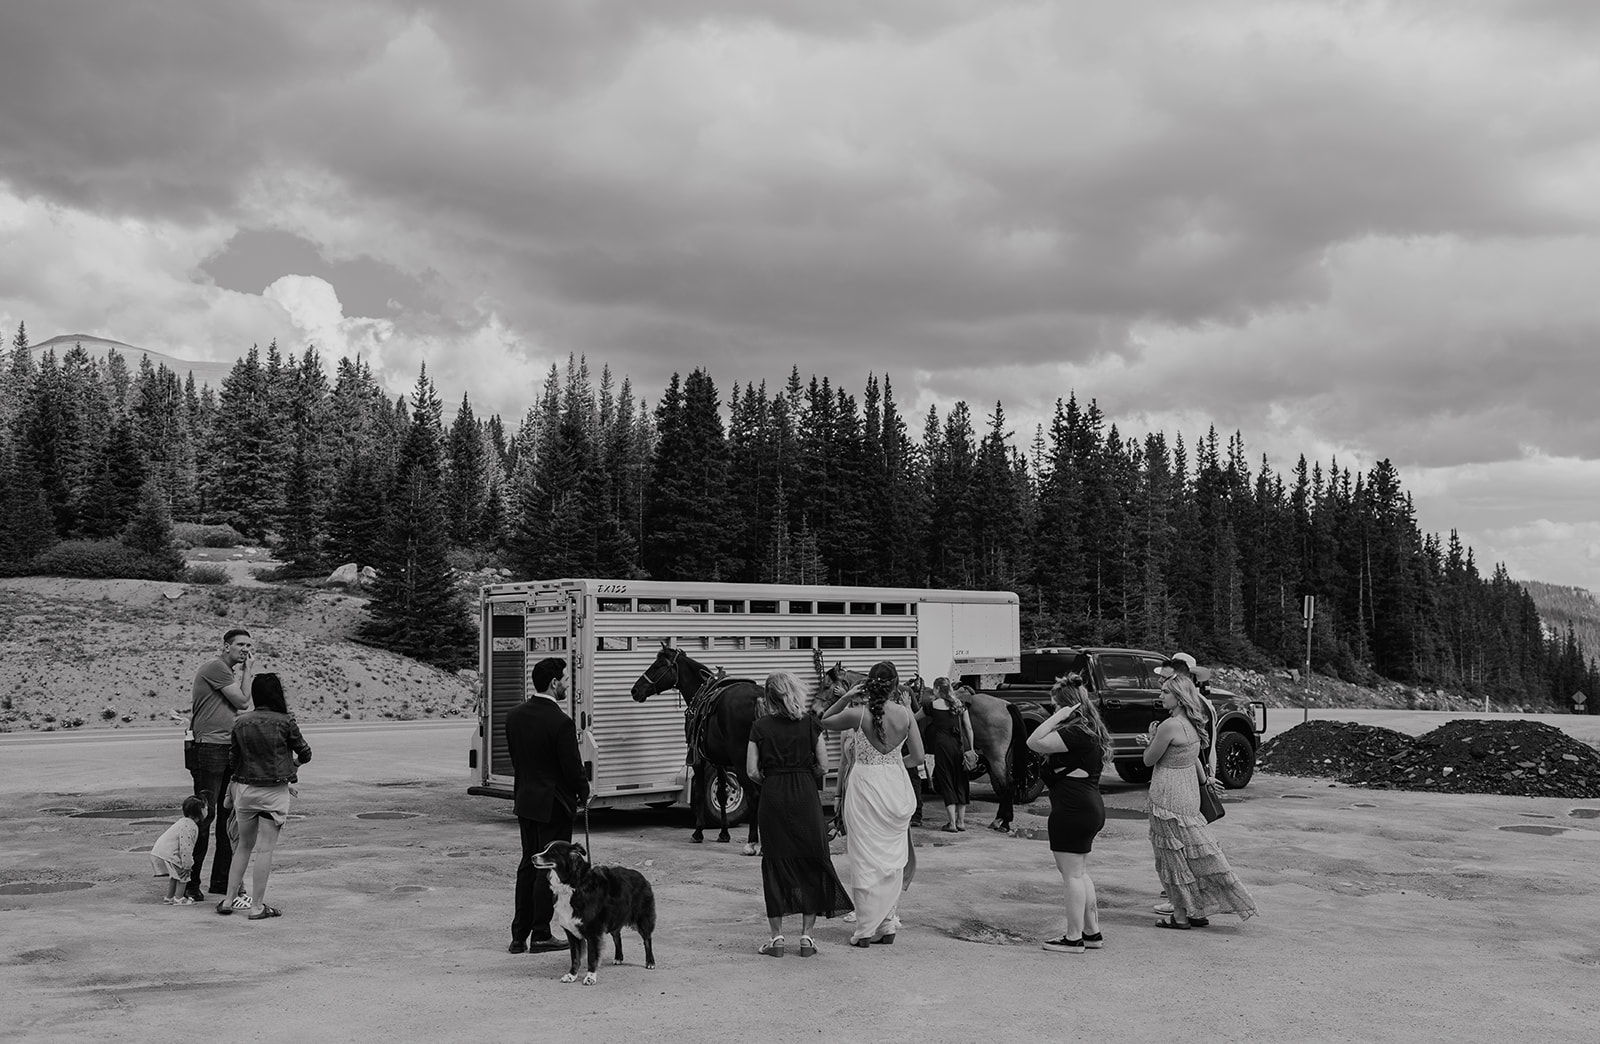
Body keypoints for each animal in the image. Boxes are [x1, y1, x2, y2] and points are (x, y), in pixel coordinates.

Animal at [531, 839, 656, 986]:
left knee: (647, 939)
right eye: (545, 848)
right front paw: (571, 975)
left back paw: (650, 962)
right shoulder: (571, 931)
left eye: (553, 852)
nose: (533, 857)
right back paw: (618, 957)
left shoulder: (593, 932)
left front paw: (590, 977)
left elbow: (592, 957)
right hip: (615, 918)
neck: (572, 884)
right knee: (617, 937)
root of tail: (641, 876)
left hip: (642, 918)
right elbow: (575, 957)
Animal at [627, 643, 764, 845]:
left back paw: (753, 840)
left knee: (754, 796)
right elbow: (722, 793)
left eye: (658, 665)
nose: (635, 691)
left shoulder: (697, 758)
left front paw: (698, 831)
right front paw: (724, 833)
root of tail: (758, 699)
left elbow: (699, 793)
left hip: (742, 762)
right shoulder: (718, 760)